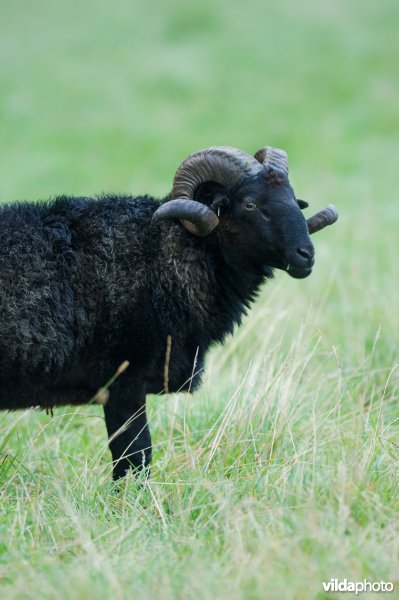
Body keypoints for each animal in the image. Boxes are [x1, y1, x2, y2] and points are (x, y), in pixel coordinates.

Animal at [0, 145, 338, 478]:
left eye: (293, 198)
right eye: (250, 203)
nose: (306, 255)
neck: (164, 253)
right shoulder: (123, 383)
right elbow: (135, 458)